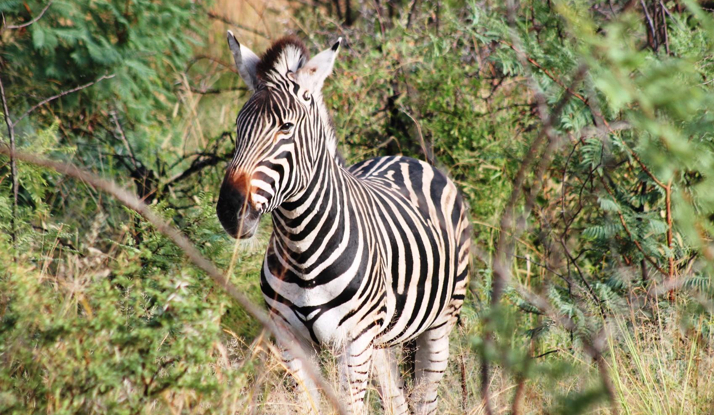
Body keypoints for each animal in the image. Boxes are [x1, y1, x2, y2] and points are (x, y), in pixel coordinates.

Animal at [216, 30, 472, 414]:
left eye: (286, 127)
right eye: (238, 126)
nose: (231, 209)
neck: (300, 245)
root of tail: (405, 157)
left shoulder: (353, 341)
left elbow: (351, 405)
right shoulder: (289, 340)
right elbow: (308, 406)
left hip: (439, 325)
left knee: (425, 397)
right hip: (381, 342)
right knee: (396, 399)